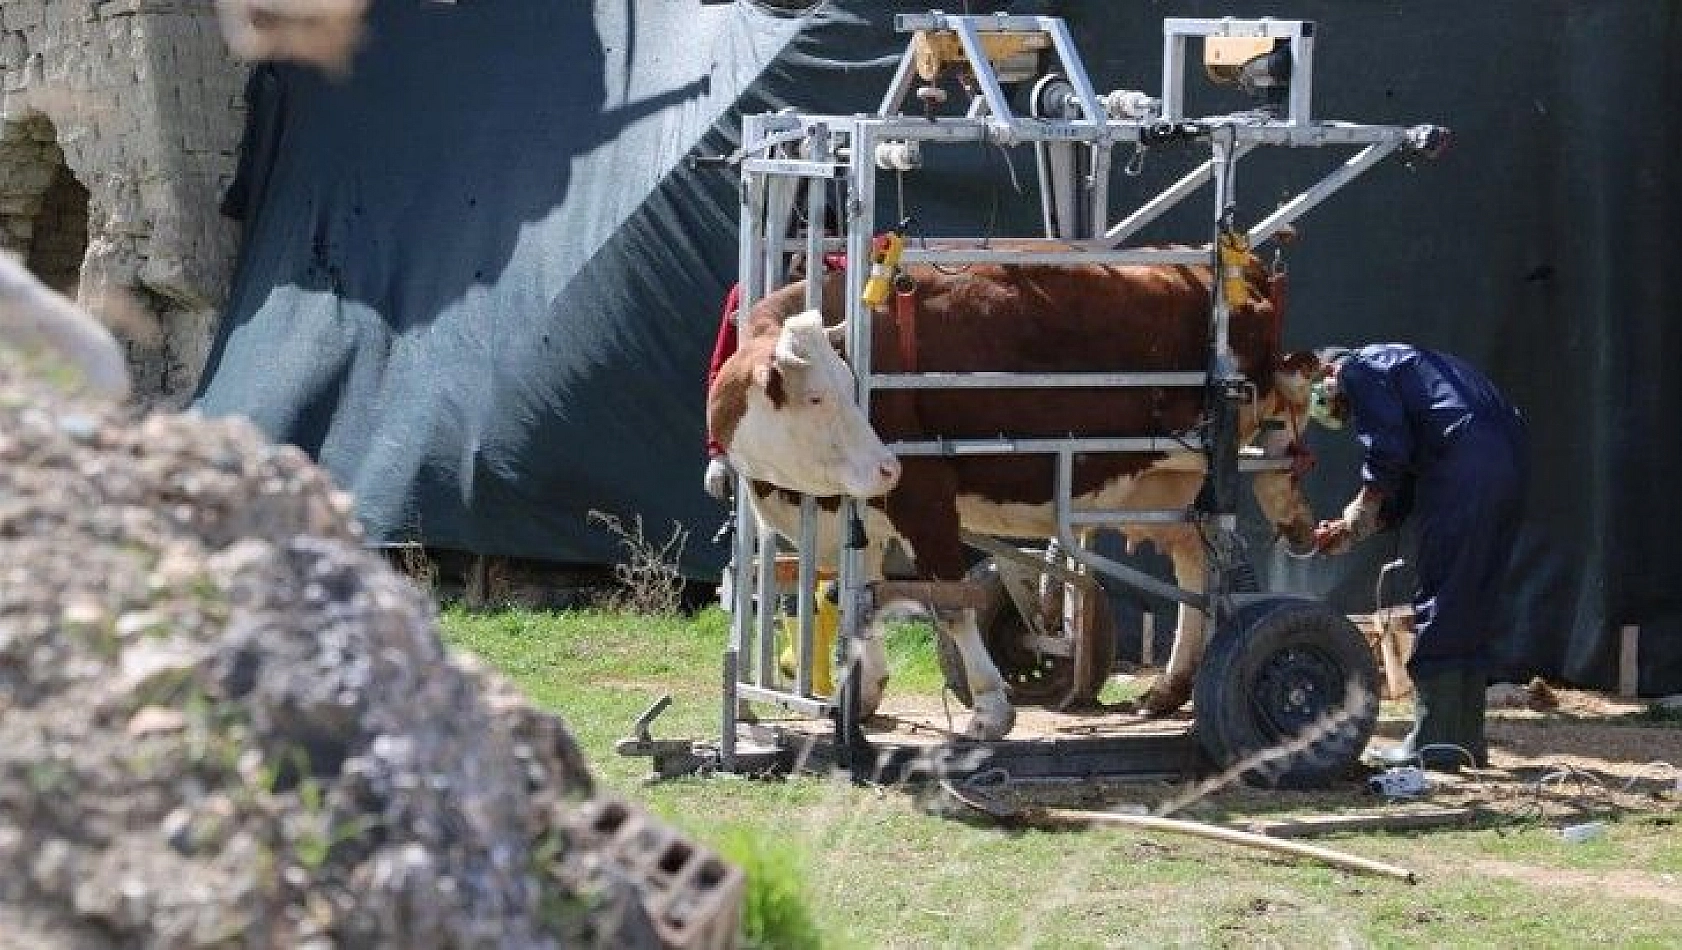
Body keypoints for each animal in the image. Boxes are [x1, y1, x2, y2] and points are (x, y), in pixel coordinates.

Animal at [703, 253, 1318, 739]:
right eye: (817, 398)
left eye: (854, 388)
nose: (885, 466)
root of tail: (1246, 268)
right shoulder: (851, 516)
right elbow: (850, 596)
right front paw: (863, 694)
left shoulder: (925, 494)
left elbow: (949, 603)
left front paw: (991, 710)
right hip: (1159, 482)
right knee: (1193, 556)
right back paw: (1169, 688)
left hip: (1225, 431)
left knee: (1286, 415)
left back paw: (1293, 508)